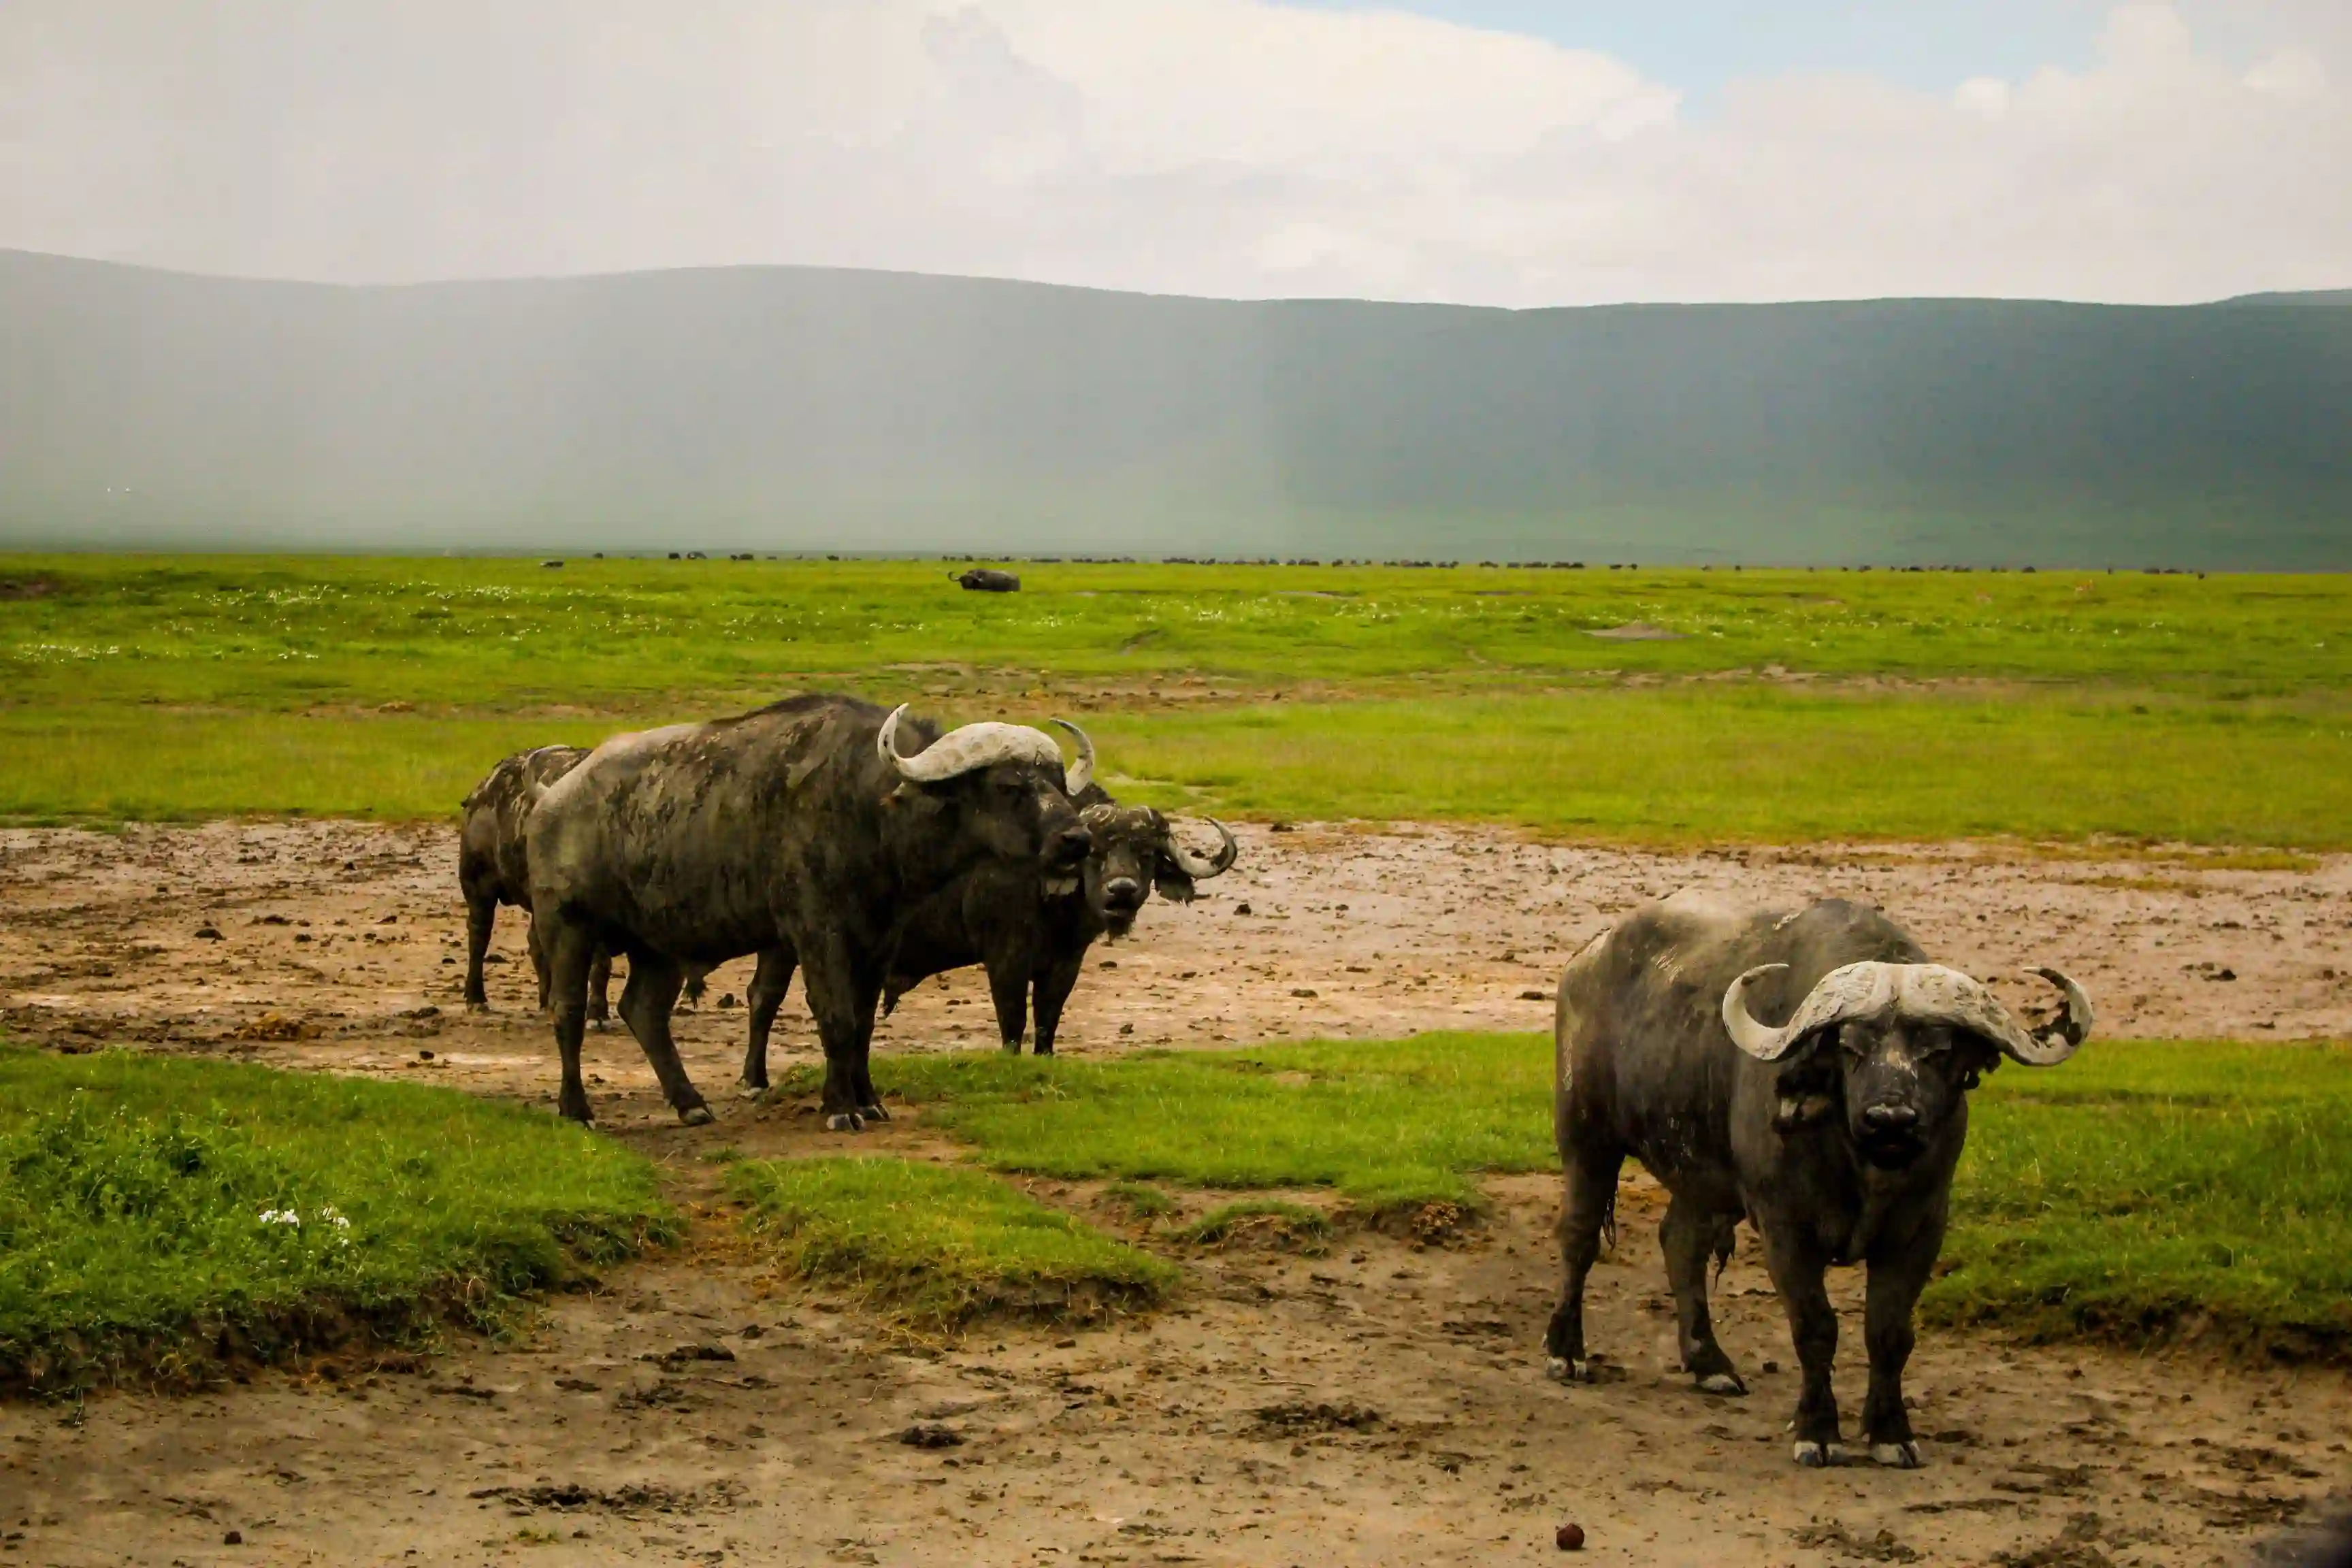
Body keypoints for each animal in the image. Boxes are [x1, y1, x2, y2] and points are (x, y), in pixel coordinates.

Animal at [526, 694, 1094, 1129]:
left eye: (1056, 780)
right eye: (1009, 786)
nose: (1076, 840)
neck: (867, 809)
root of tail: (551, 798)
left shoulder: (879, 939)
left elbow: (863, 1024)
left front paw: (868, 1100)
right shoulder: (817, 932)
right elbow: (836, 1017)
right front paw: (839, 1107)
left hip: (660, 943)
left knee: (643, 1011)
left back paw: (691, 1104)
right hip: (566, 925)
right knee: (569, 1010)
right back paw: (577, 1109)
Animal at [1547, 893, 2091, 1468]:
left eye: (1938, 1051)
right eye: (1850, 1048)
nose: (1890, 1119)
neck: (1862, 1170)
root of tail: (1585, 960)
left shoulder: (1920, 1229)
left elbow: (1889, 1332)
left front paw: (1891, 1432)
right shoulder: (1785, 1227)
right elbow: (1815, 1326)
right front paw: (1818, 1430)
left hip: (1701, 1174)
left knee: (1681, 1243)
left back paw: (1709, 1363)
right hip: (1587, 1138)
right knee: (1579, 1239)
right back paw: (1566, 1352)